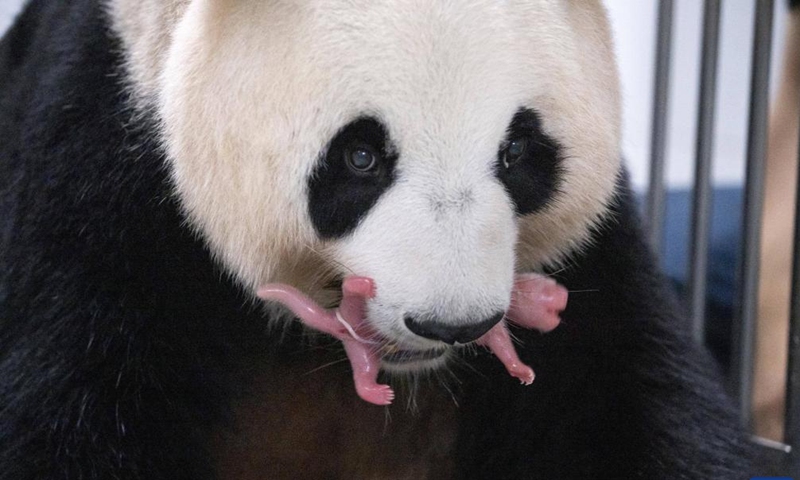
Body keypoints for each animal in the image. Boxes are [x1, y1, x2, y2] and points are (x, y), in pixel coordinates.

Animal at [0, 0, 752, 480]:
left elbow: (631, 397)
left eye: (517, 152)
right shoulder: (100, 173)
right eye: (361, 157)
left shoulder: (590, 263)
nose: (454, 324)